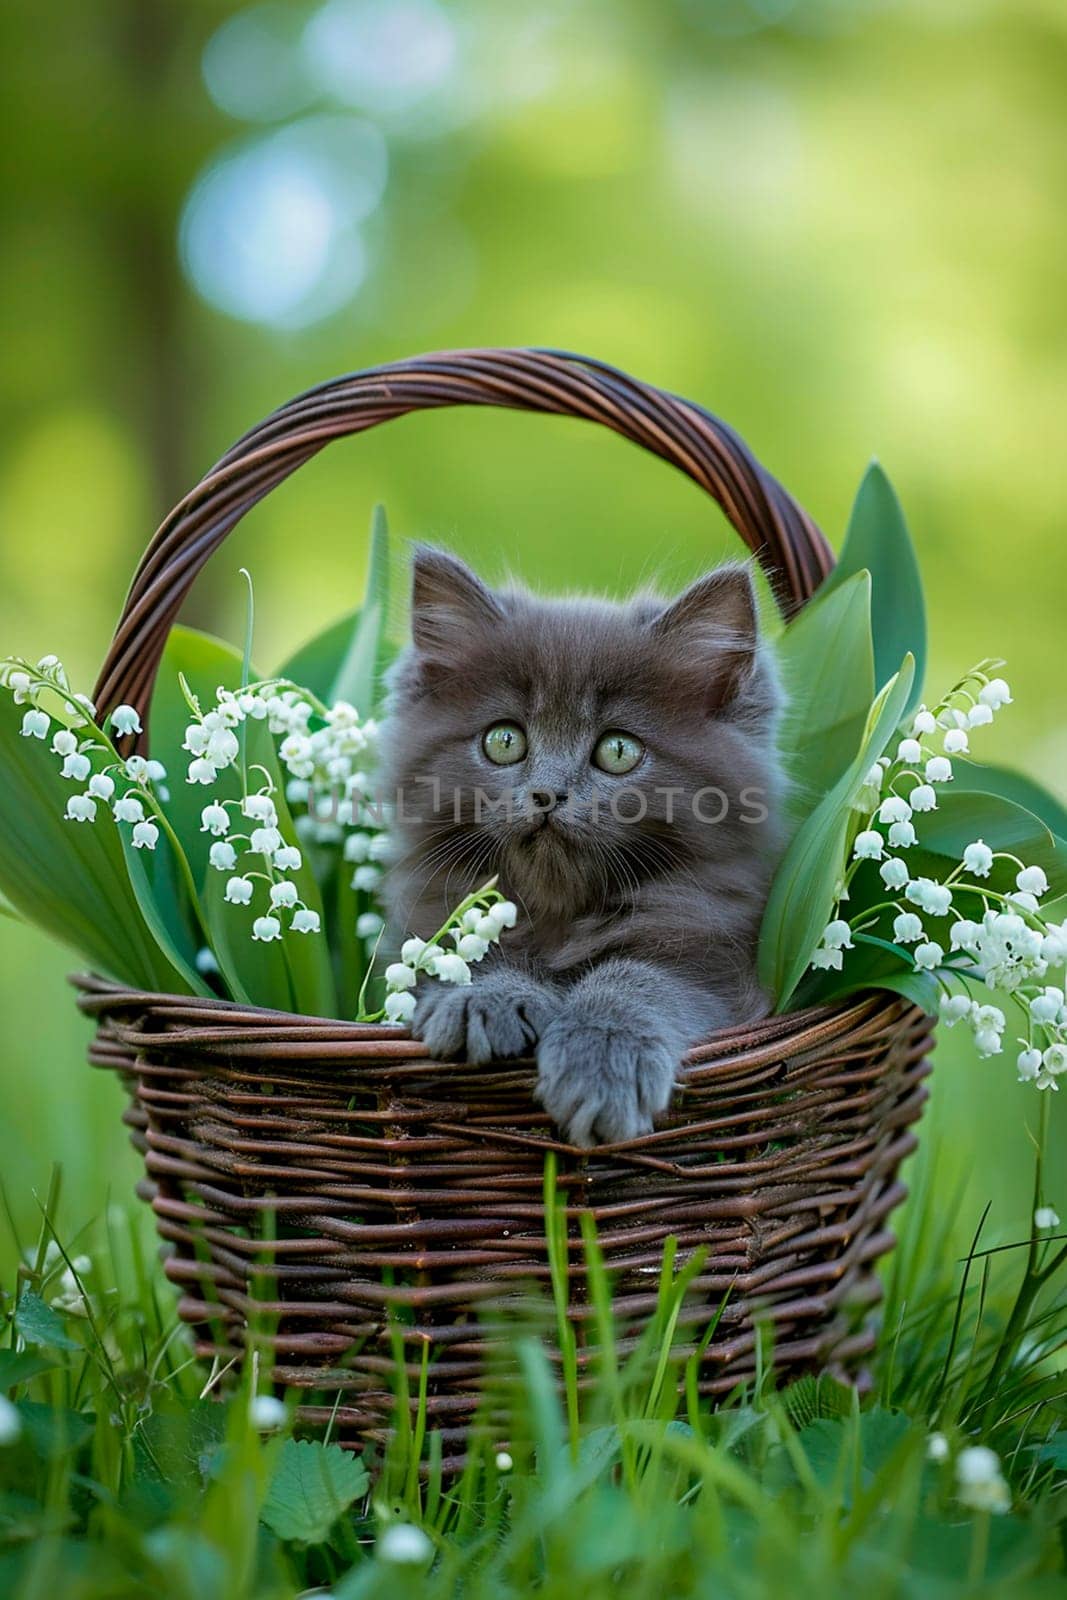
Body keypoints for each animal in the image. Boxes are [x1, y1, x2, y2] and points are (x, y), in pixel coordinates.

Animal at [377, 544, 783, 1145]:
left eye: (618, 750)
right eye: (504, 741)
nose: (548, 792)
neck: (560, 916)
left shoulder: (720, 964)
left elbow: (640, 976)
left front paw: (604, 1057)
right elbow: (474, 945)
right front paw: (482, 998)